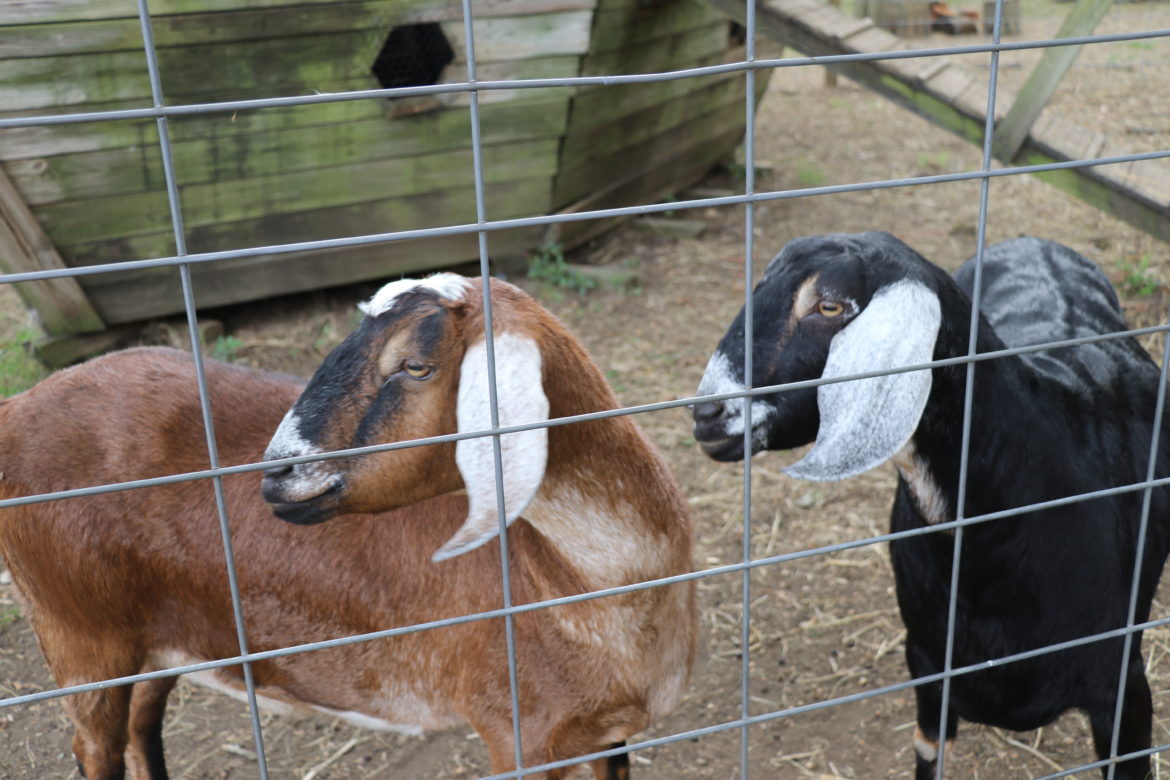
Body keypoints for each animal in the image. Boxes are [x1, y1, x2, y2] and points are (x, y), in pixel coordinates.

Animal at [0, 275, 692, 780]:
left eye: (415, 365)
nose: (277, 473)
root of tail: (16, 406)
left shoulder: (605, 735)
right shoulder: (518, 734)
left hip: (164, 634)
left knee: (143, 729)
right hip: (80, 636)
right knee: (96, 748)